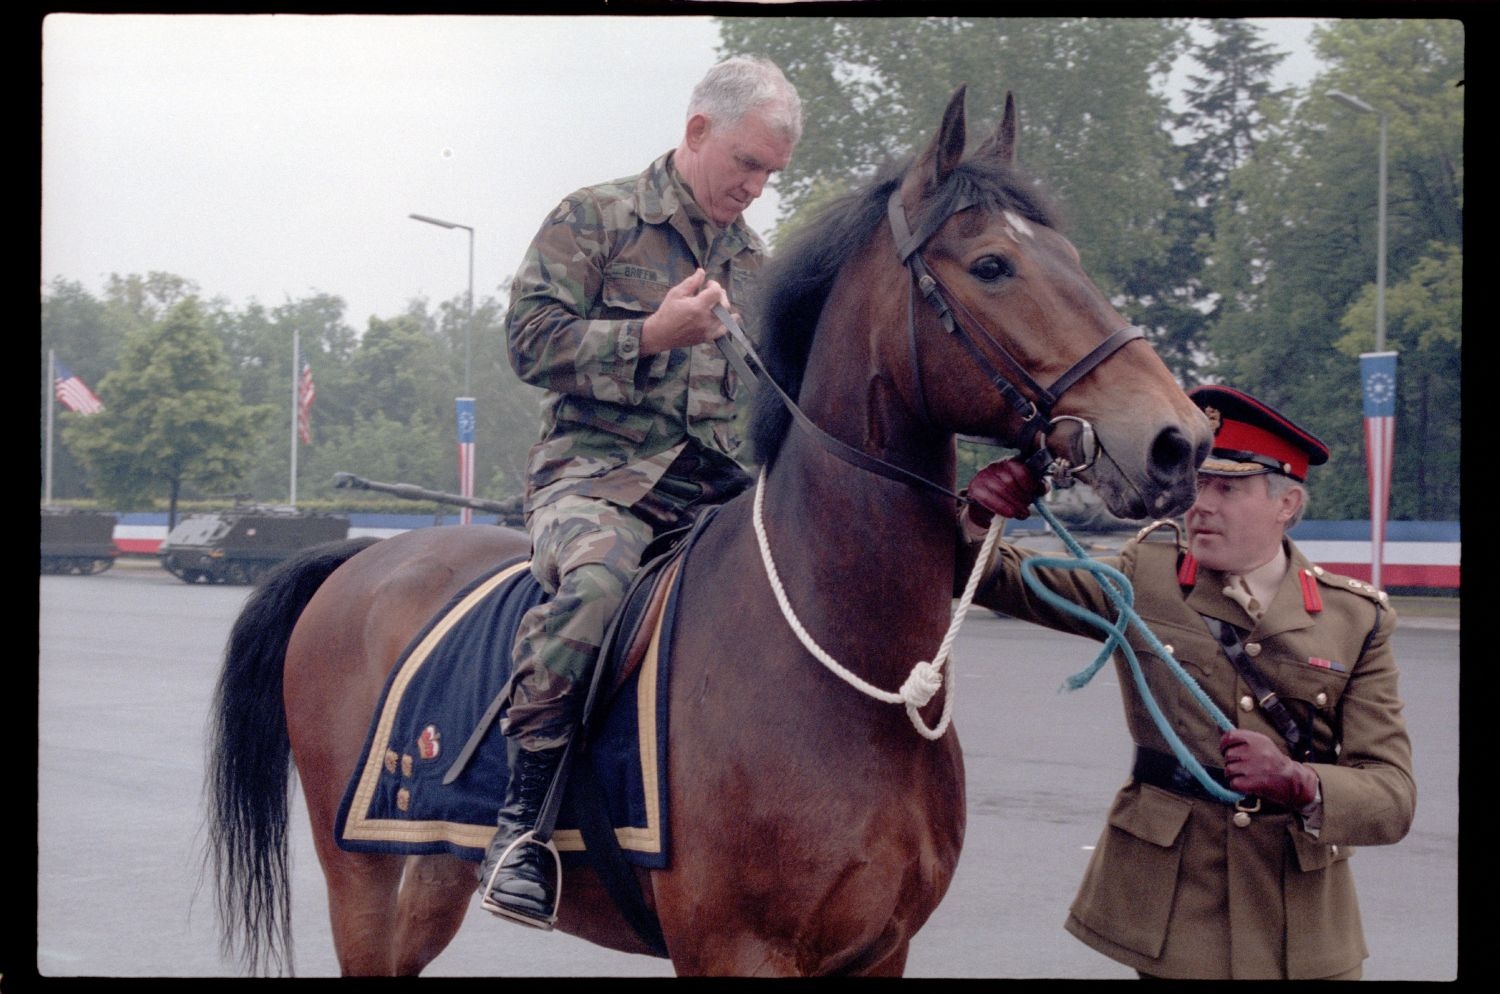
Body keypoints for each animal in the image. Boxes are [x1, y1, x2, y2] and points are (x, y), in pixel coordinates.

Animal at [211, 89, 1212, 977]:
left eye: (1070, 254)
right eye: (995, 264)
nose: (1179, 440)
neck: (844, 658)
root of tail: (364, 558)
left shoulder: (879, 951)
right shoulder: (735, 952)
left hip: (427, 877)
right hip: (363, 883)